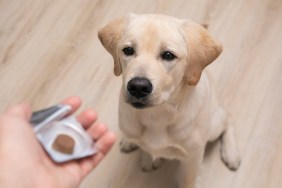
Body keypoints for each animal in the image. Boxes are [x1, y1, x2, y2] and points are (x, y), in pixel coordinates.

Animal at [97, 13, 240, 188]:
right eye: (128, 50)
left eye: (168, 55)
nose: (137, 86)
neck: (157, 114)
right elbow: (146, 147)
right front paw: (147, 157)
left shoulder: (192, 158)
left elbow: (187, 181)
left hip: (214, 125)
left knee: (228, 117)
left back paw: (231, 153)